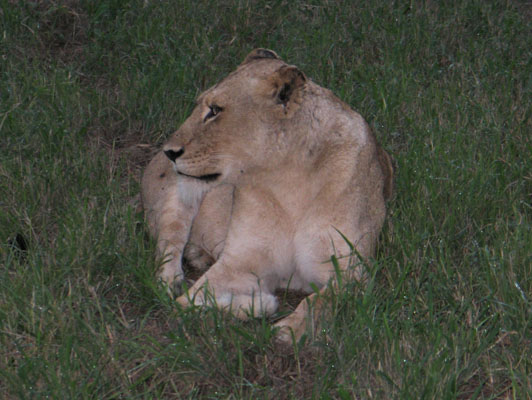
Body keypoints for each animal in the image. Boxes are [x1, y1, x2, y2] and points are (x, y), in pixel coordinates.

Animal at [140, 49, 390, 344]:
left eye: (215, 110)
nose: (169, 151)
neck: (287, 178)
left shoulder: (352, 272)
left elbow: (322, 301)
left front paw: (290, 329)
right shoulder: (240, 261)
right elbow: (186, 304)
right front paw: (263, 304)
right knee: (167, 250)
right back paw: (175, 277)